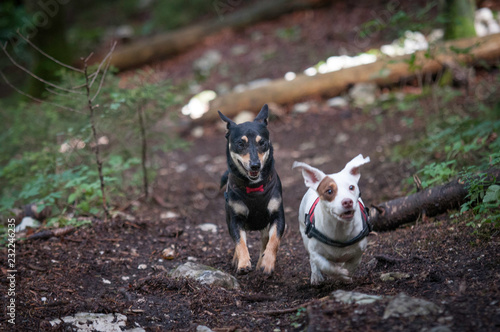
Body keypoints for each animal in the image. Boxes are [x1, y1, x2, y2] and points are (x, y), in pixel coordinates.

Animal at [219, 105, 286, 276]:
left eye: (262, 142)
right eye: (240, 144)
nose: (255, 165)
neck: (255, 187)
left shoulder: (277, 216)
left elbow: (273, 241)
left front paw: (267, 263)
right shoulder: (234, 220)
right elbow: (240, 243)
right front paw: (243, 263)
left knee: (265, 241)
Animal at [292, 154, 372, 284]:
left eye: (351, 187)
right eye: (329, 191)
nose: (347, 202)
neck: (339, 228)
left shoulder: (359, 252)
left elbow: (351, 266)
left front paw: (346, 276)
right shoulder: (315, 252)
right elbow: (326, 265)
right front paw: (339, 274)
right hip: (304, 237)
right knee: (312, 261)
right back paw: (316, 276)